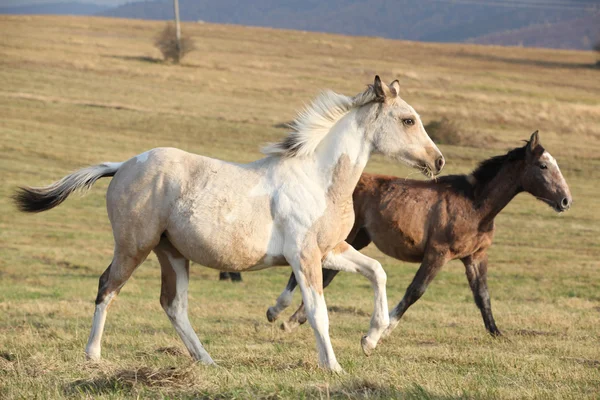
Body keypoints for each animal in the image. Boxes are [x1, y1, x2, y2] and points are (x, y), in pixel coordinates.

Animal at [15, 76, 446, 372]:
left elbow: (377, 272)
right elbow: (317, 310)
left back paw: (207, 360)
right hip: (134, 246)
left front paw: (370, 339)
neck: (318, 178)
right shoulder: (304, 256)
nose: (438, 160)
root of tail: (122, 166)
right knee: (108, 288)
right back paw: (93, 356)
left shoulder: (330, 250)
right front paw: (333, 366)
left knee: (173, 305)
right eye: (408, 120)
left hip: (172, 253)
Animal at [268, 131, 572, 338]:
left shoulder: (475, 257)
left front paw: (497, 333)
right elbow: (416, 290)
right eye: (543, 166)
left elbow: (482, 295)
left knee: (326, 274)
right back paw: (278, 312)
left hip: (356, 240)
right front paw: (382, 332)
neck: (474, 205)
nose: (566, 201)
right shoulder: (438, 253)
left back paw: (291, 320)